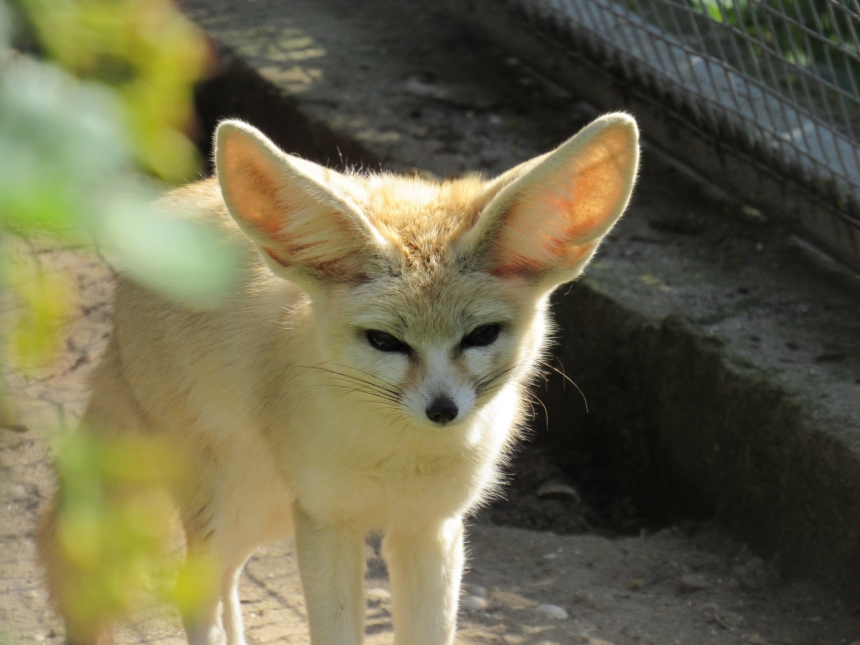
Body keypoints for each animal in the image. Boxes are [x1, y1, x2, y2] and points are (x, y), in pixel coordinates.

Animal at [38, 114, 640, 644]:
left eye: (481, 335)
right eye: (385, 342)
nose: (443, 410)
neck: (399, 456)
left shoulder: (431, 526)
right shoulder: (327, 522)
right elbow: (335, 630)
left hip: (263, 512)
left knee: (225, 579)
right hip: (231, 501)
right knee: (196, 588)